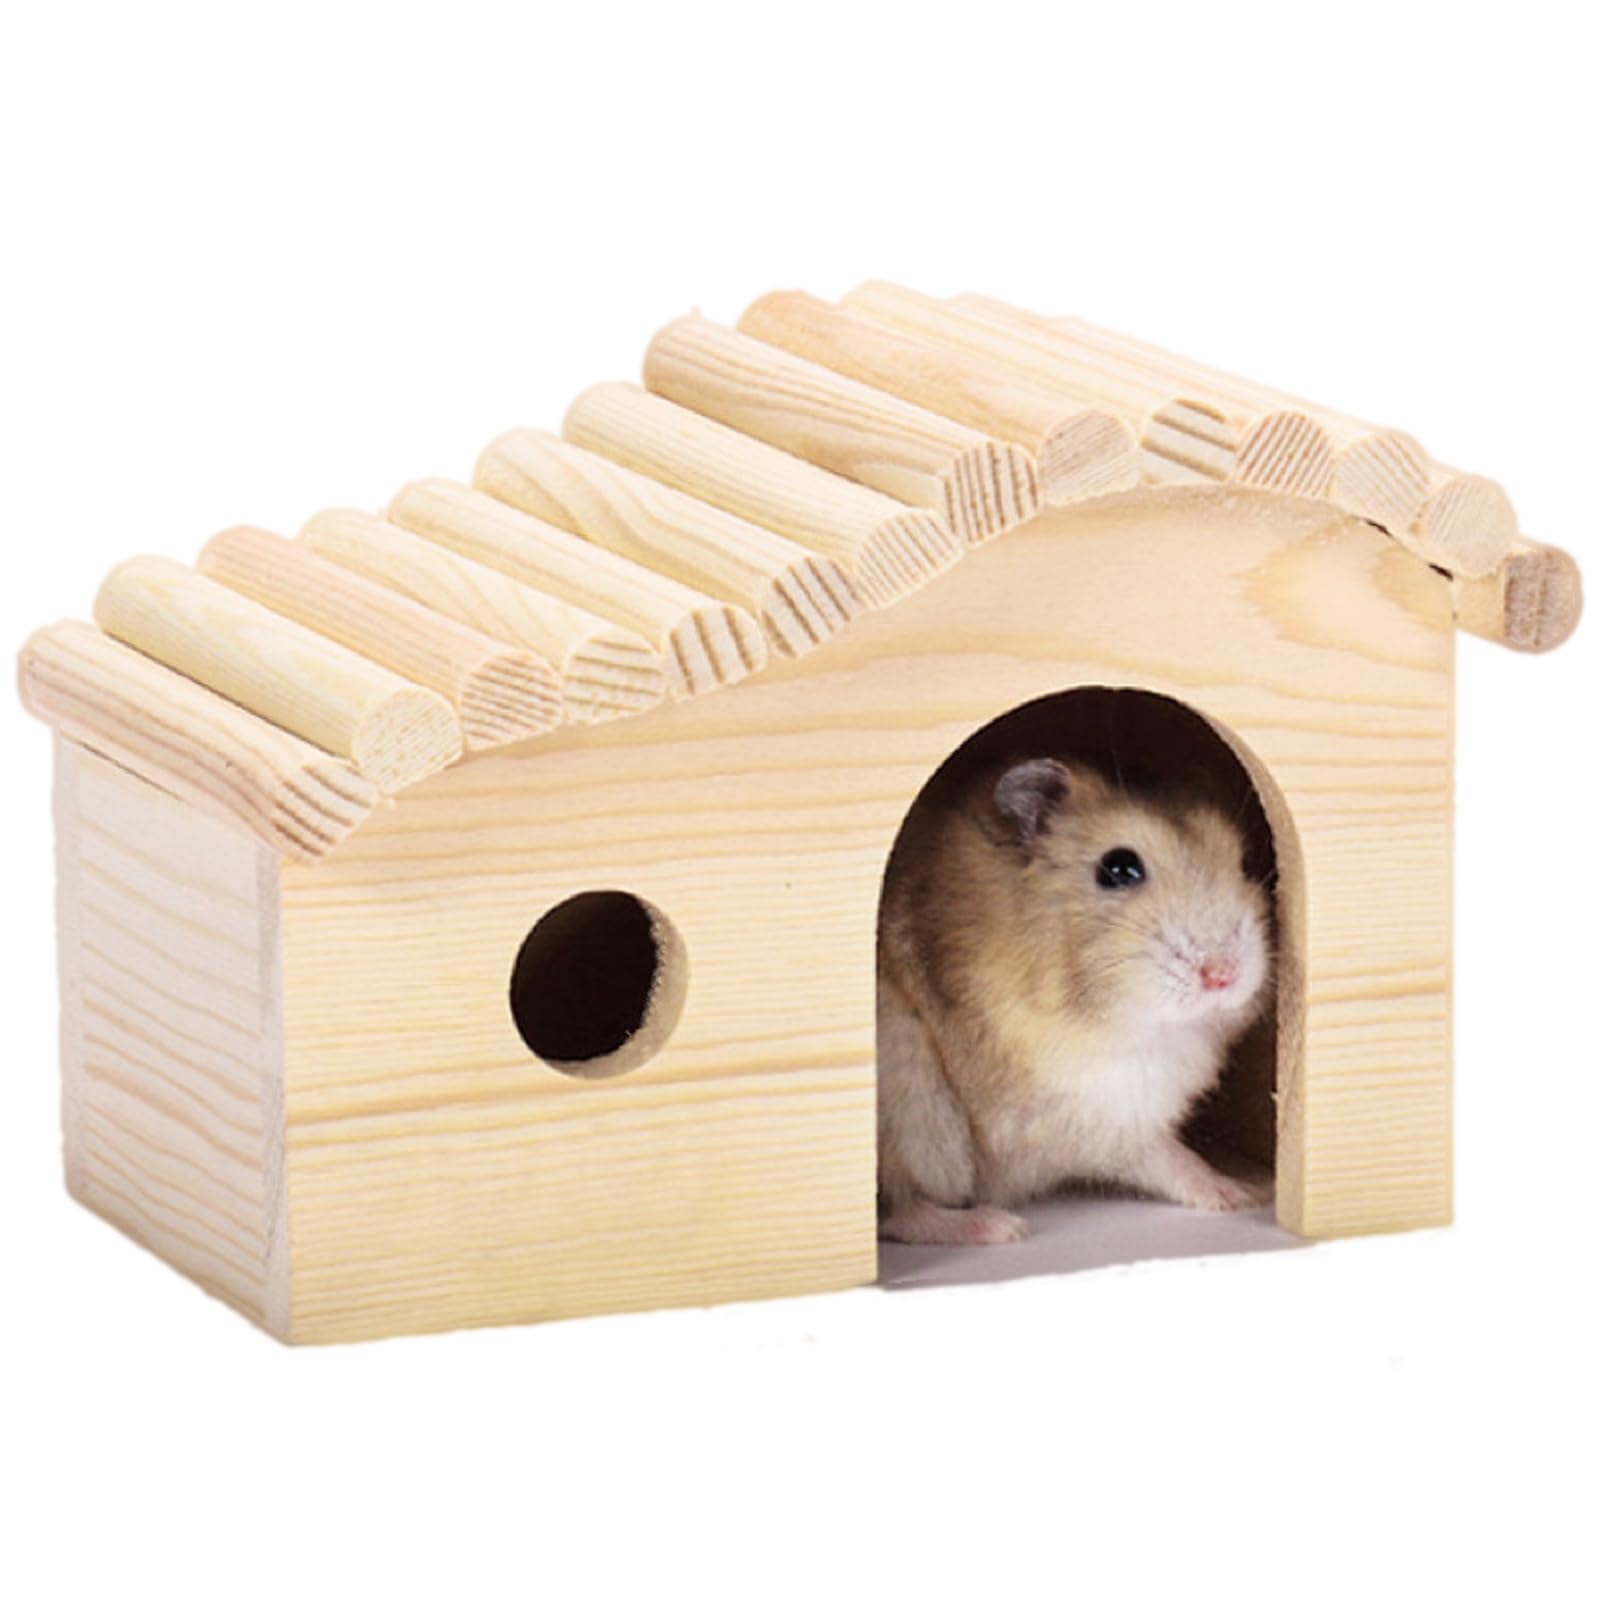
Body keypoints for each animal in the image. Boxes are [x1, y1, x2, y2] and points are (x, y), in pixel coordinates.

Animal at [877, 755, 1272, 1245]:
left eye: (1245, 862)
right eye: (1119, 868)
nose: (1223, 974)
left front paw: (1249, 1192)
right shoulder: (1082, 1118)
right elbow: (1163, 1155)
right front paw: (1240, 1195)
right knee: (902, 1211)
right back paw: (1001, 1227)